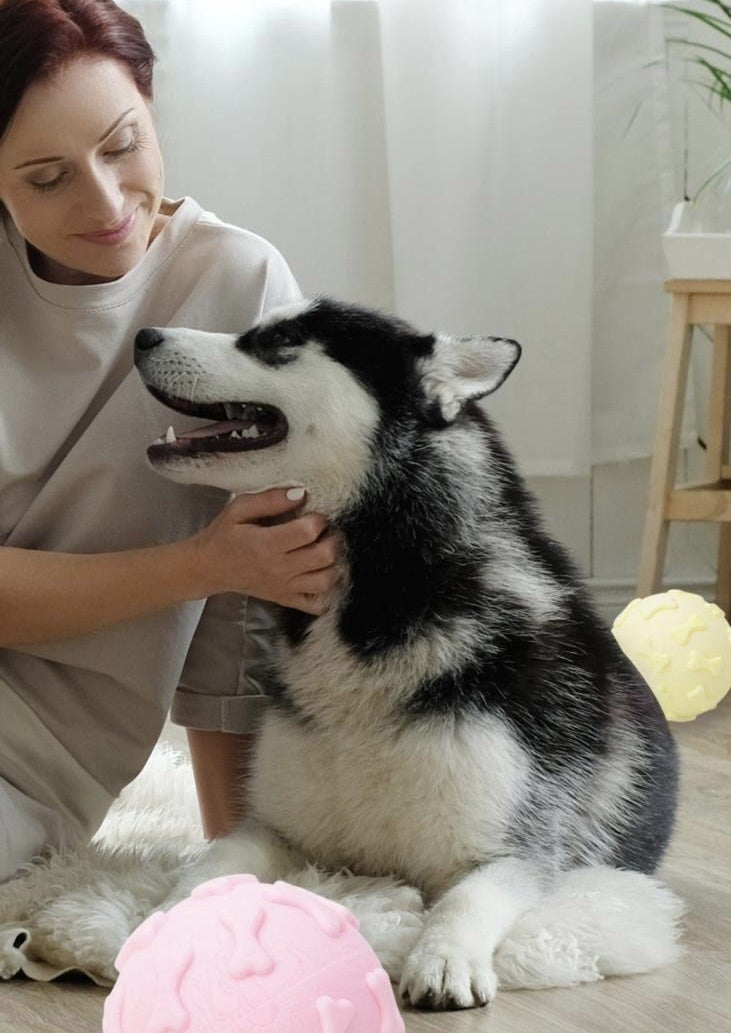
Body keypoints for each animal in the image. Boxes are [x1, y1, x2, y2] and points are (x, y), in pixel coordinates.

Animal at [133, 301, 681, 1008]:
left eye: (281, 338)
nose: (143, 334)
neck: (383, 599)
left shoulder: (514, 852)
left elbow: (467, 899)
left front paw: (443, 958)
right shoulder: (278, 833)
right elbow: (210, 865)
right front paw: (162, 921)